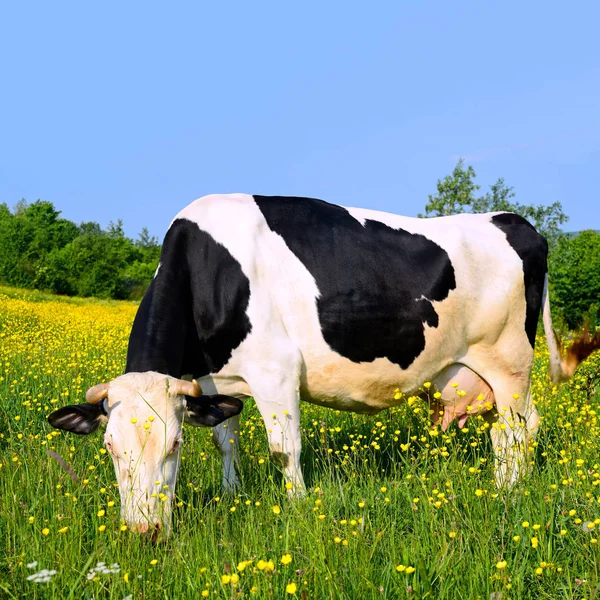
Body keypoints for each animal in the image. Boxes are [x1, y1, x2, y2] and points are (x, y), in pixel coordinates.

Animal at [48, 196, 600, 536]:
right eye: (108, 447)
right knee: (506, 433)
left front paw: (294, 509)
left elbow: (283, 450)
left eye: (174, 446)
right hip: (478, 373)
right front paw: (232, 492)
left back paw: (510, 493)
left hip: (510, 363)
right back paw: (502, 486)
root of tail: (511, 219)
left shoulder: (275, 371)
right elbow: (226, 440)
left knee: (521, 430)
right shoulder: (210, 379)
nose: (145, 531)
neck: (209, 268)